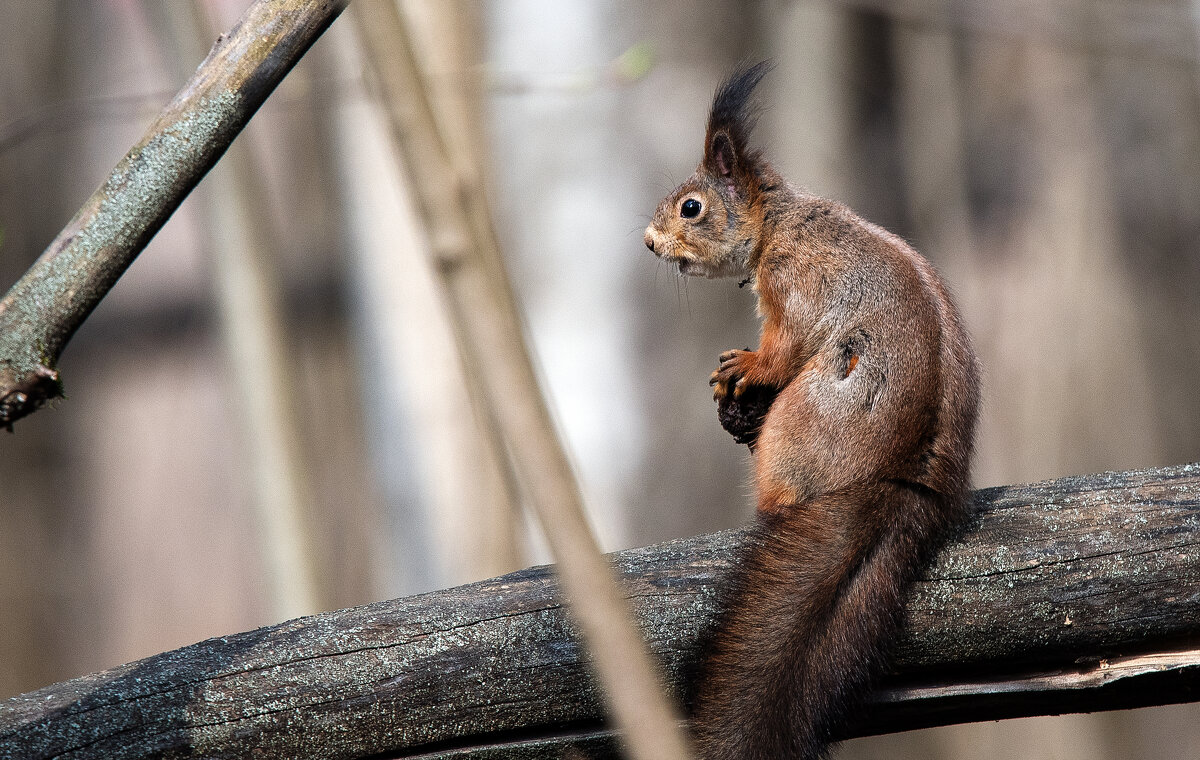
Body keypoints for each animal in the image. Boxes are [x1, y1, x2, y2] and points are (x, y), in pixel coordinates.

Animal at [643, 59, 979, 758]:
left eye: (692, 207)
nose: (649, 243)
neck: (778, 221)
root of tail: (900, 482)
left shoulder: (795, 282)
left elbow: (786, 346)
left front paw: (743, 366)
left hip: (796, 424)